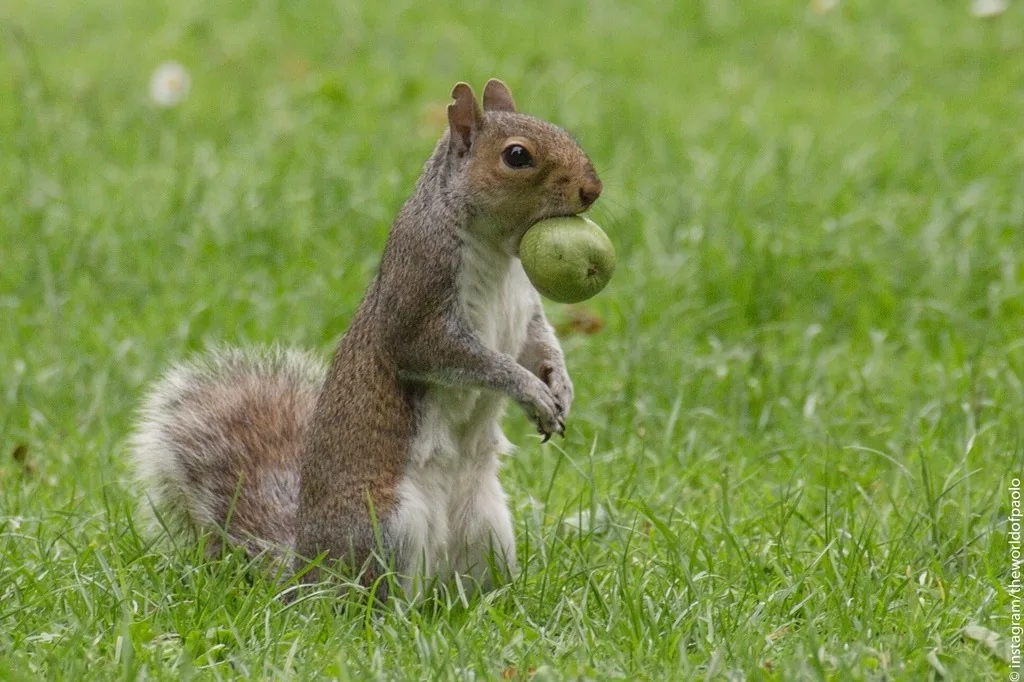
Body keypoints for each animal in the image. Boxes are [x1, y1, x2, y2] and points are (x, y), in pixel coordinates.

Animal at [129, 79, 603, 600]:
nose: (593, 189)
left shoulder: (525, 313)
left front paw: (560, 386)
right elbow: (466, 358)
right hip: (388, 529)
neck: (499, 250)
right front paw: (529, 390)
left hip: (490, 529)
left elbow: (540, 346)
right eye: (517, 156)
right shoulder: (419, 306)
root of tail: (306, 570)